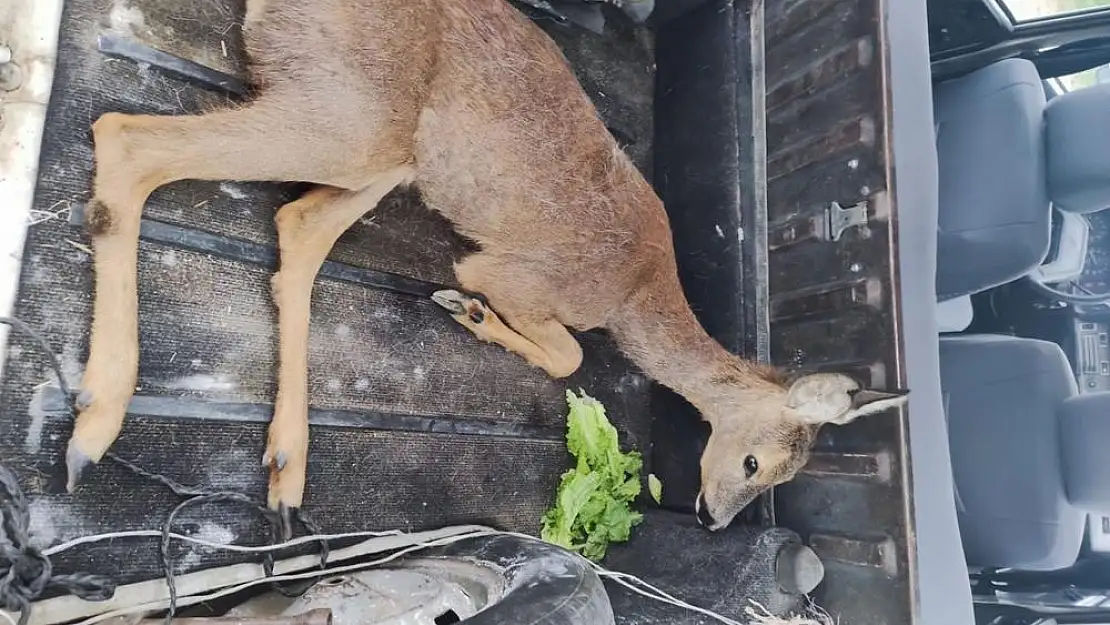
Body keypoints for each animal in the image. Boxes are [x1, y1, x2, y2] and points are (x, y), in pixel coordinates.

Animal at [64, 0, 905, 532]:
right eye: (757, 461)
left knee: (294, 228)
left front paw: (463, 313)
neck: (635, 291)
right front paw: (470, 309)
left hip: (386, 150)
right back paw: (91, 427)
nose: (713, 518)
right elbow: (566, 354)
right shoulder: (515, 273)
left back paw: (285, 468)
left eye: (785, 474)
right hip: (349, 120)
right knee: (124, 134)